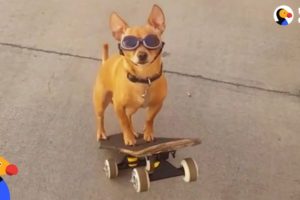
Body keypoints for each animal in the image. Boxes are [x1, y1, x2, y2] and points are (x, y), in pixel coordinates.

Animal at [92, 5, 168, 145]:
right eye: (128, 44)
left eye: (152, 41)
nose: (142, 55)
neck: (143, 78)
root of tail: (105, 62)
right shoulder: (119, 107)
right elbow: (124, 123)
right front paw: (128, 137)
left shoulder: (157, 105)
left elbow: (149, 119)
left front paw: (148, 133)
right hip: (100, 103)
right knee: (100, 117)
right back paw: (101, 132)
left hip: (132, 107)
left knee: (129, 116)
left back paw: (133, 131)